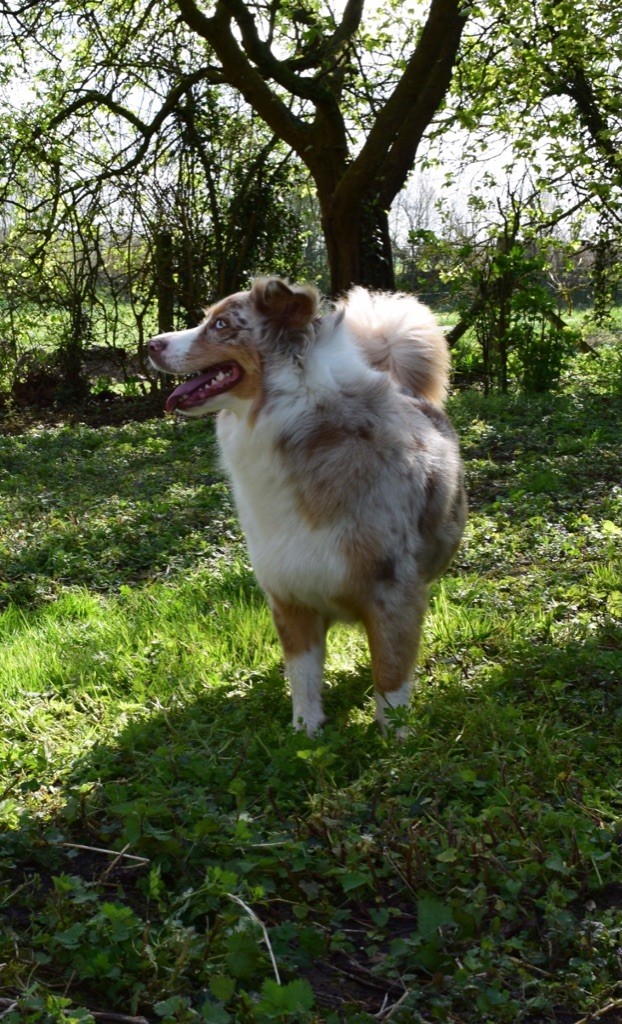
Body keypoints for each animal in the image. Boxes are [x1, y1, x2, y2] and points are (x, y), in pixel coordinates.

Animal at [147, 276, 467, 733]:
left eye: (221, 324)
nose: (150, 345)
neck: (299, 421)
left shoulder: (393, 589)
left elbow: (391, 673)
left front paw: (393, 738)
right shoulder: (288, 591)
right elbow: (302, 672)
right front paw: (305, 730)